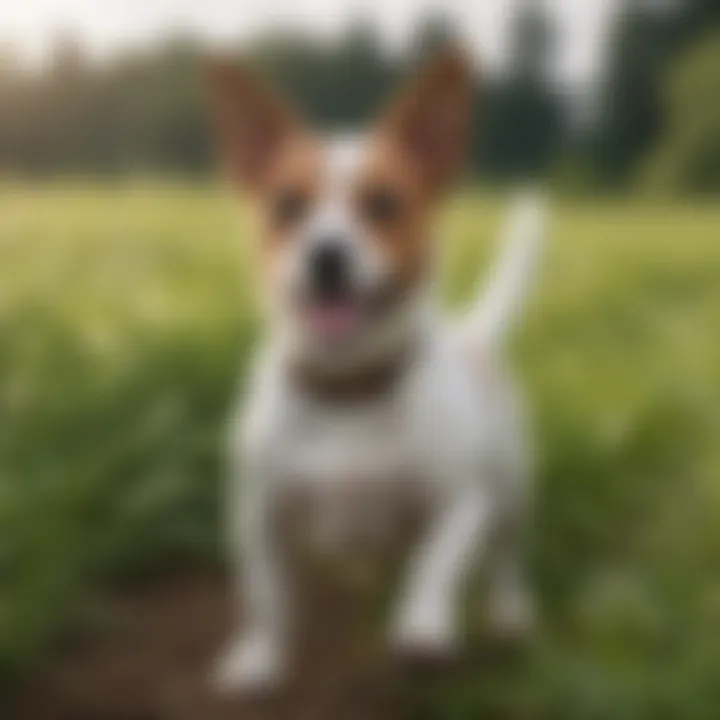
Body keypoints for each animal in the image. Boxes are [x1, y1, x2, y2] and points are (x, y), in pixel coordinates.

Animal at [208, 49, 544, 692]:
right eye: (287, 206)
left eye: (384, 204)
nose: (326, 254)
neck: (348, 388)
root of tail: (474, 335)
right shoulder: (259, 519)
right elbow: (269, 597)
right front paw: (263, 657)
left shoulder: (463, 502)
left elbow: (434, 565)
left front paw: (421, 627)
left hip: (512, 491)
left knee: (504, 557)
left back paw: (510, 610)